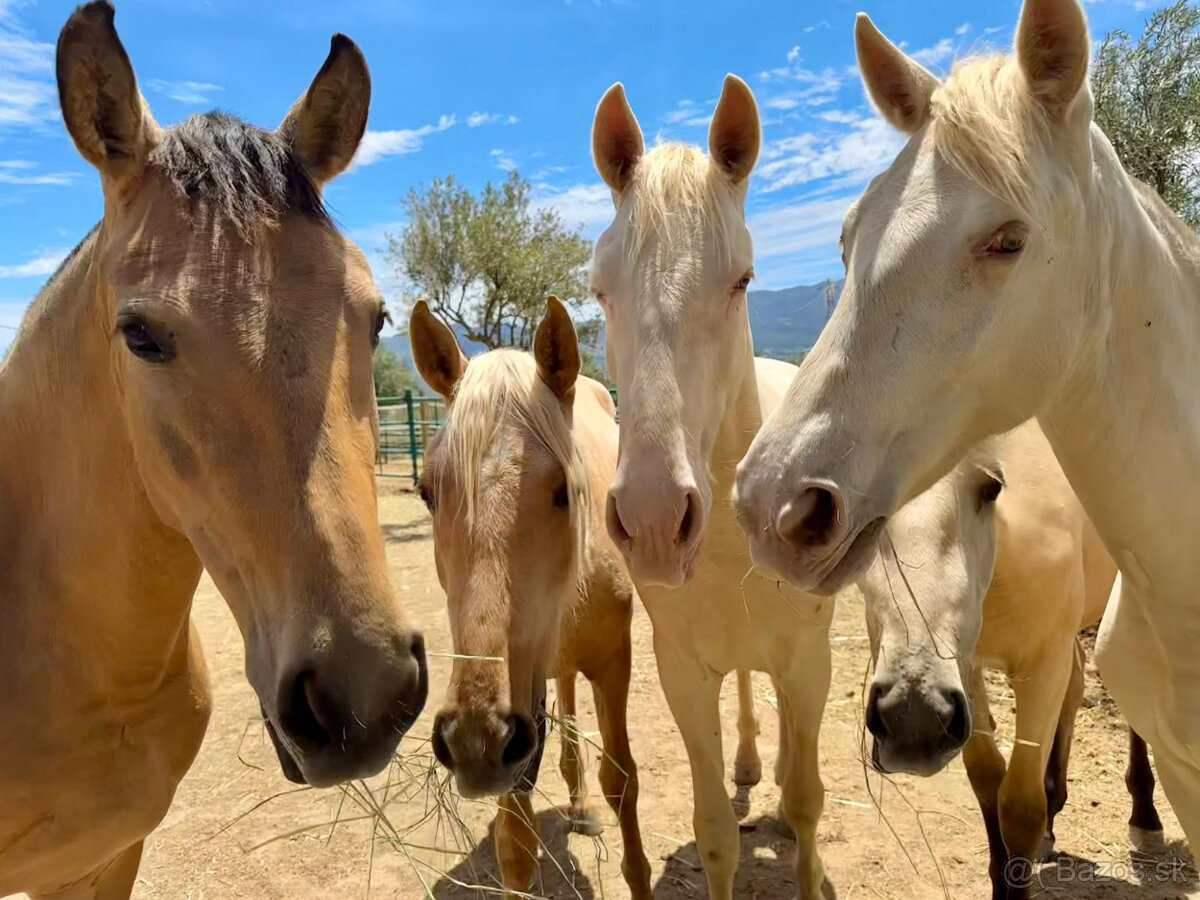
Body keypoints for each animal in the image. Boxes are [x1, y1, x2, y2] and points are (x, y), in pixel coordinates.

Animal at [412, 300, 657, 897]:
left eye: (563, 491)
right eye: (427, 492)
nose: (475, 739)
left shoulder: (613, 664)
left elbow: (622, 779)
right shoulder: (517, 715)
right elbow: (515, 844)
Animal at [588, 77, 835, 900]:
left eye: (742, 281)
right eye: (599, 289)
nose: (655, 519)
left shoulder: (808, 662)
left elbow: (811, 801)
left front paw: (801, 838)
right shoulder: (684, 674)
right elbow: (716, 835)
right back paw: (755, 759)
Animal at [864, 422, 1161, 900]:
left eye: (990, 487)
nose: (912, 716)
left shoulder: (1040, 665)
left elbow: (1020, 805)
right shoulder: (966, 671)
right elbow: (988, 778)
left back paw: (1145, 817)